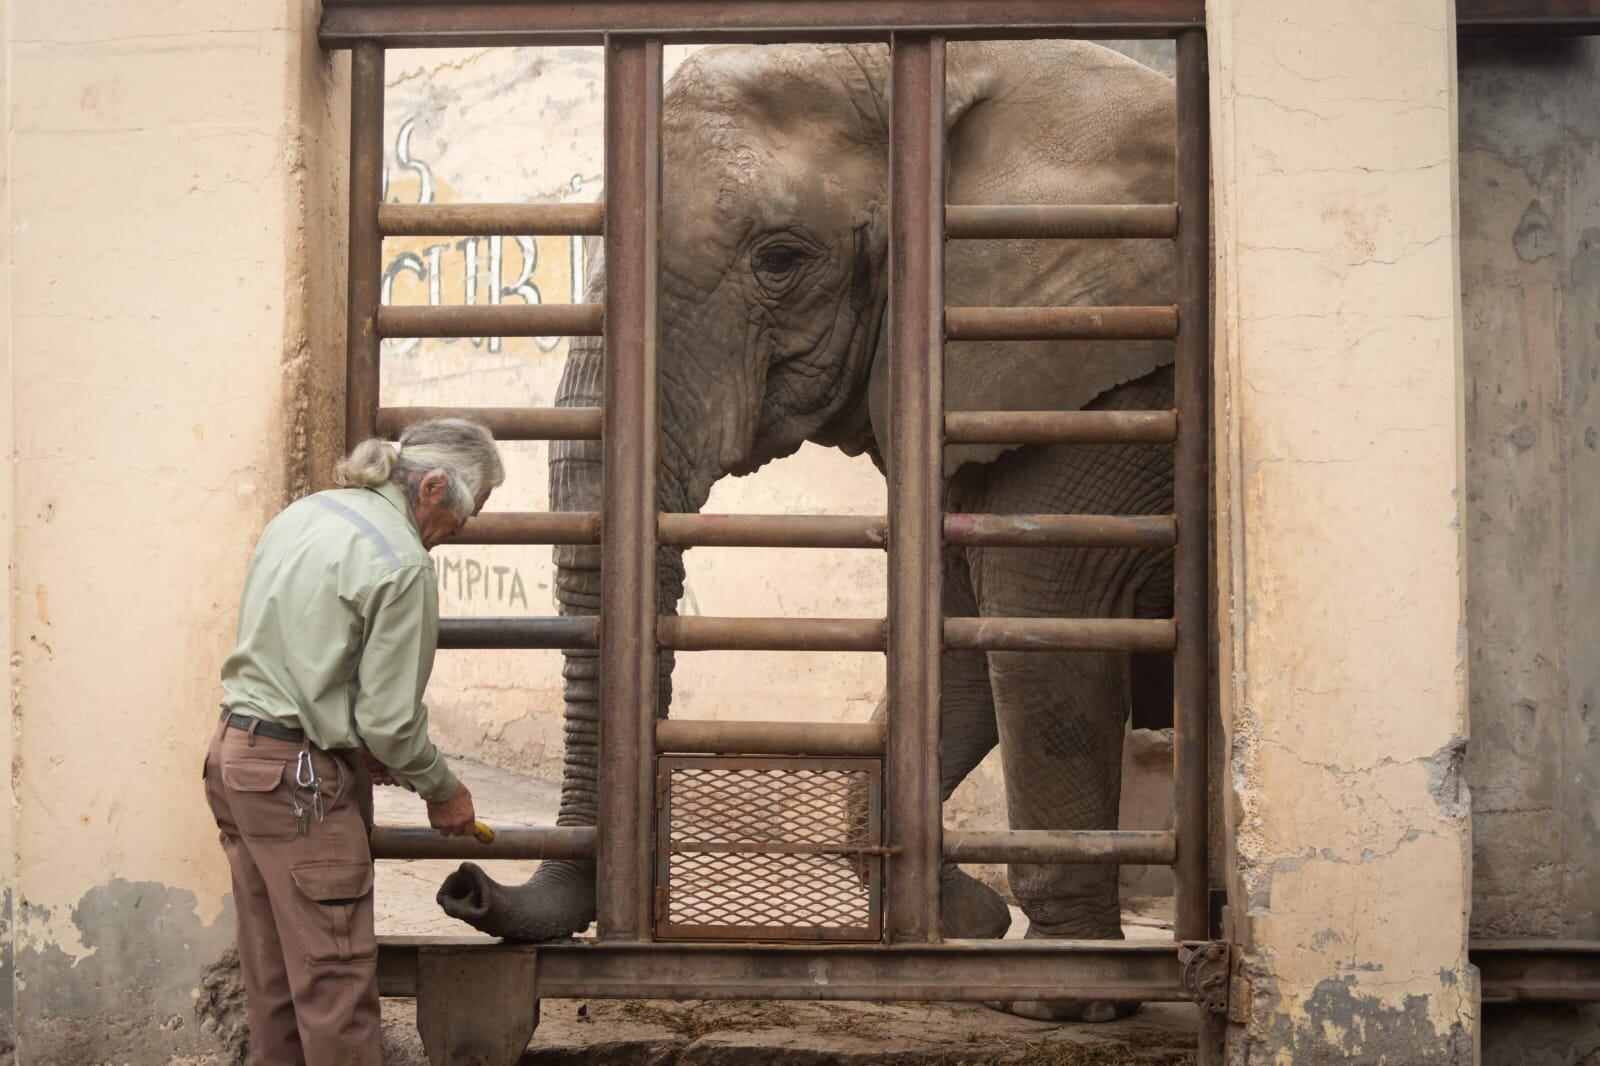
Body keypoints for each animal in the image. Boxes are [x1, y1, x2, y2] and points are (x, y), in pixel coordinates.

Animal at [444, 43, 1184, 1024]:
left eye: (781, 258)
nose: (464, 883)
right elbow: (957, 645)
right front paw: (965, 920)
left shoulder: (1101, 387)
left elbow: (1040, 632)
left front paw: (1062, 997)